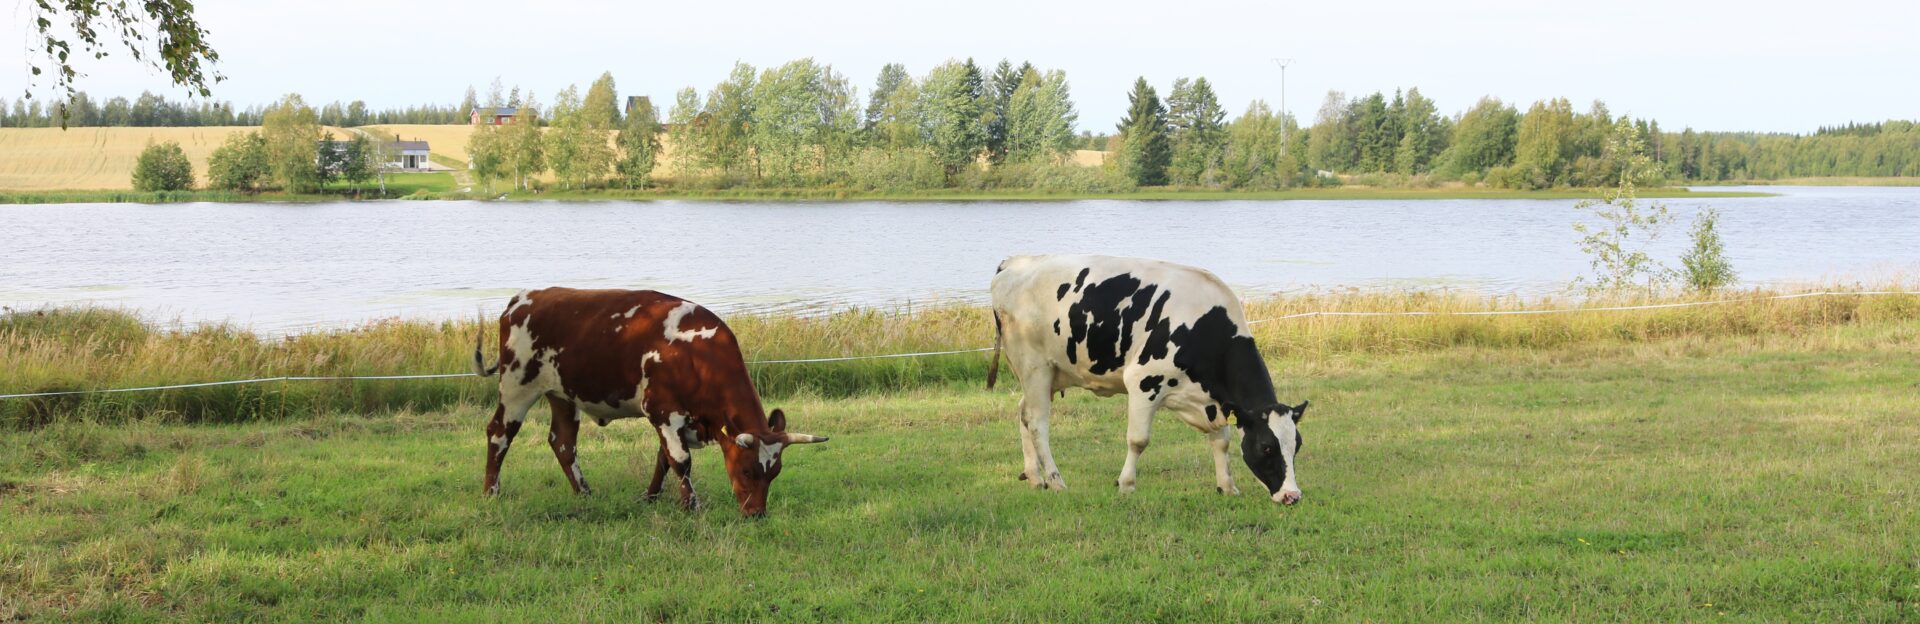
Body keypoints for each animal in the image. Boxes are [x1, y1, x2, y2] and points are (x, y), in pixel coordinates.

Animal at [472, 286, 825, 514]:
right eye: (748, 470)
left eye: (775, 472)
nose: (756, 514)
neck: (698, 355)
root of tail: (524, 298)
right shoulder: (663, 411)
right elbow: (680, 460)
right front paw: (691, 506)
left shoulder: (677, 419)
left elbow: (664, 459)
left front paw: (651, 497)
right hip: (517, 386)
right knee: (499, 433)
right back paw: (491, 492)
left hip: (562, 395)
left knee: (563, 442)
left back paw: (584, 493)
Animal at [983, 255, 1313, 503]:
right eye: (1267, 447)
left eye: (1296, 445)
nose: (1292, 496)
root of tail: (1016, 262)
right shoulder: (1144, 381)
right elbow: (1138, 440)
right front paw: (1126, 484)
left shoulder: (1214, 400)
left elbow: (1221, 442)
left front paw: (1227, 486)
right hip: (1034, 366)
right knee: (1038, 423)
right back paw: (1055, 480)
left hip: (1047, 373)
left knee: (1024, 414)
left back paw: (1034, 477)